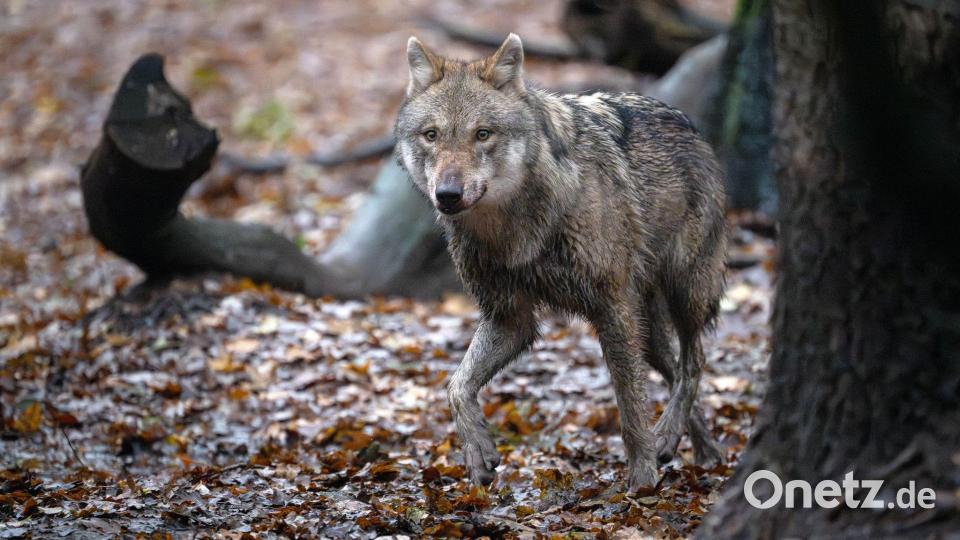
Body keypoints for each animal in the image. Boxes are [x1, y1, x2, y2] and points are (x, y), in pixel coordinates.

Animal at [395, 33, 727, 491]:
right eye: (431, 135)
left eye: (482, 134)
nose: (447, 194)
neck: (514, 229)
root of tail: (690, 126)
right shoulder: (509, 318)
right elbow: (456, 386)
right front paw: (478, 452)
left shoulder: (612, 308)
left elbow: (629, 408)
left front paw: (641, 479)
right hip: (648, 329)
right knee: (676, 370)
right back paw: (698, 449)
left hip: (685, 292)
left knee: (695, 362)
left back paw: (670, 438)